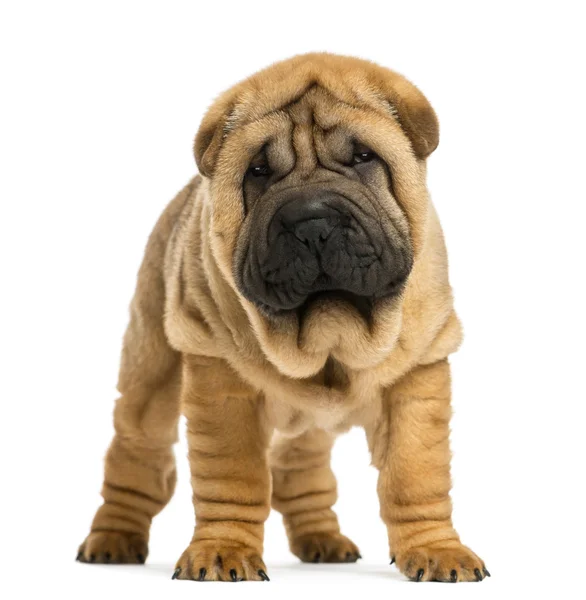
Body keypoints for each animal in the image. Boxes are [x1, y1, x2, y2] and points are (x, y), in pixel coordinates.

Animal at [78, 54, 488, 584]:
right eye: (258, 170)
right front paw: (223, 552)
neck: (324, 336)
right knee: (135, 458)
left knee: (302, 470)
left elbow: (416, 475)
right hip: (152, 382)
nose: (312, 221)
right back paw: (112, 540)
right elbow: (233, 477)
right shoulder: (221, 388)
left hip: (307, 426)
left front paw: (438, 550)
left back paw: (324, 541)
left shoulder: (417, 381)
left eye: (363, 158)